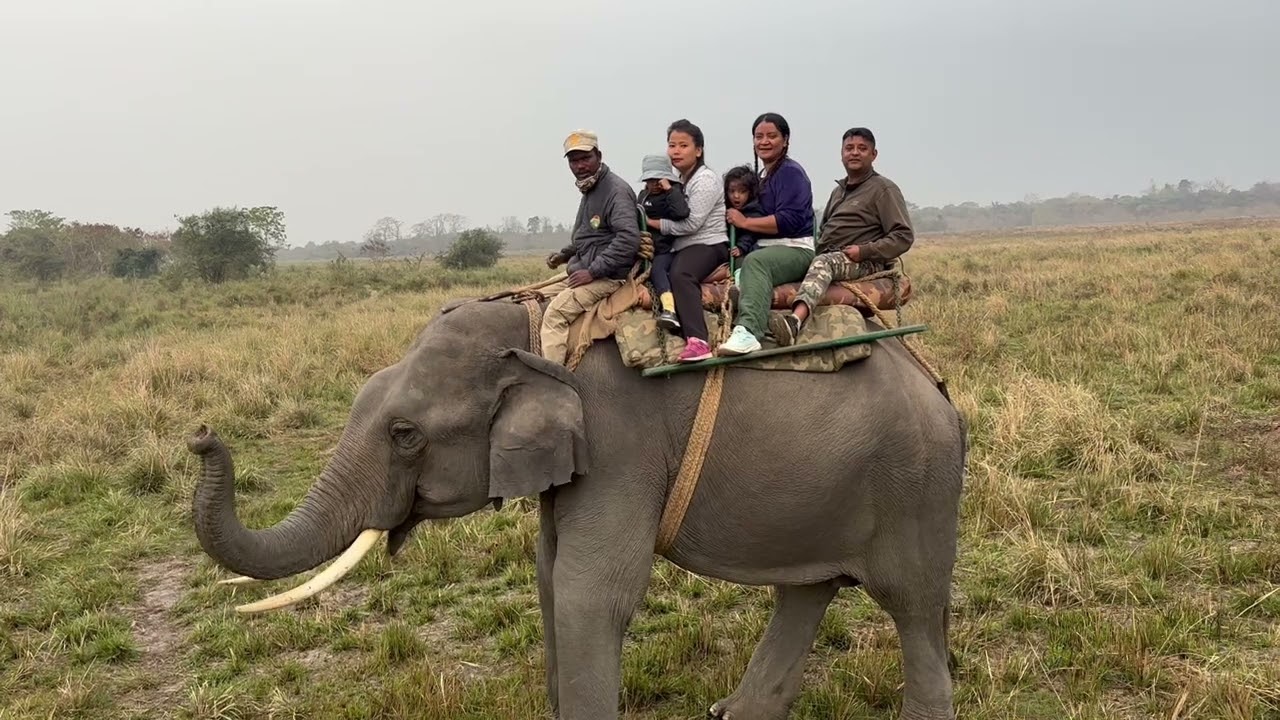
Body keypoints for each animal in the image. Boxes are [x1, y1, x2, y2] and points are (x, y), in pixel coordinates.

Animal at [187, 296, 967, 720]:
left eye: (406, 434)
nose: (200, 434)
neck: (534, 331)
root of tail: (941, 389)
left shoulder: (619, 440)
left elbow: (592, 590)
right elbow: (548, 577)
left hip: (915, 484)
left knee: (911, 602)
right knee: (808, 588)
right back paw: (731, 714)